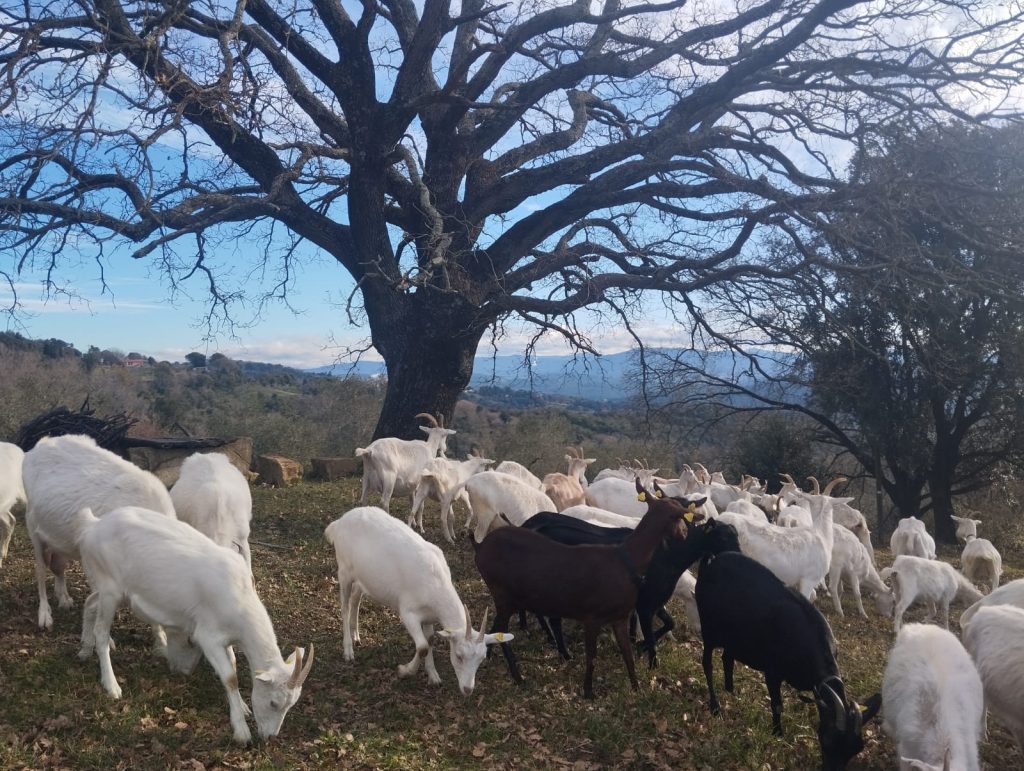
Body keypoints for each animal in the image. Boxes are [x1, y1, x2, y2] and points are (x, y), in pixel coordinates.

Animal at [22, 430, 176, 626]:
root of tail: (41, 444)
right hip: (33, 528)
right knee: (41, 569)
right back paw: (44, 614)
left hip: (59, 537)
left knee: (57, 565)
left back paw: (64, 598)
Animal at [76, 501, 311, 741]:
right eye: (274, 703)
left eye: (290, 705)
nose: (270, 736)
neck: (240, 601)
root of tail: (92, 525)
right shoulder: (207, 635)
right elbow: (230, 677)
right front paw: (242, 730)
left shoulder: (226, 636)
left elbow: (234, 663)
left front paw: (244, 707)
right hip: (110, 589)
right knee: (101, 632)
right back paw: (111, 685)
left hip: (113, 592)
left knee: (90, 603)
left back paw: (84, 650)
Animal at [323, 505, 507, 692]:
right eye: (459, 655)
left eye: (482, 658)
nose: (468, 689)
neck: (435, 586)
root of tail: (339, 522)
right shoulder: (407, 611)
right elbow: (423, 646)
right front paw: (404, 671)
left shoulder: (429, 616)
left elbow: (430, 640)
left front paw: (433, 676)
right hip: (344, 570)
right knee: (344, 606)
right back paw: (348, 650)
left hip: (362, 577)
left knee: (355, 597)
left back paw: (356, 636)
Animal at [471, 475, 696, 696]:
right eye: (678, 516)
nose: (685, 534)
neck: (625, 559)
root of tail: (480, 548)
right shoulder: (591, 615)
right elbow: (592, 655)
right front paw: (588, 691)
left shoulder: (620, 616)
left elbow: (627, 653)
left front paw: (636, 688)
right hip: (502, 593)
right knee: (503, 629)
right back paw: (518, 676)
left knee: (499, 627)